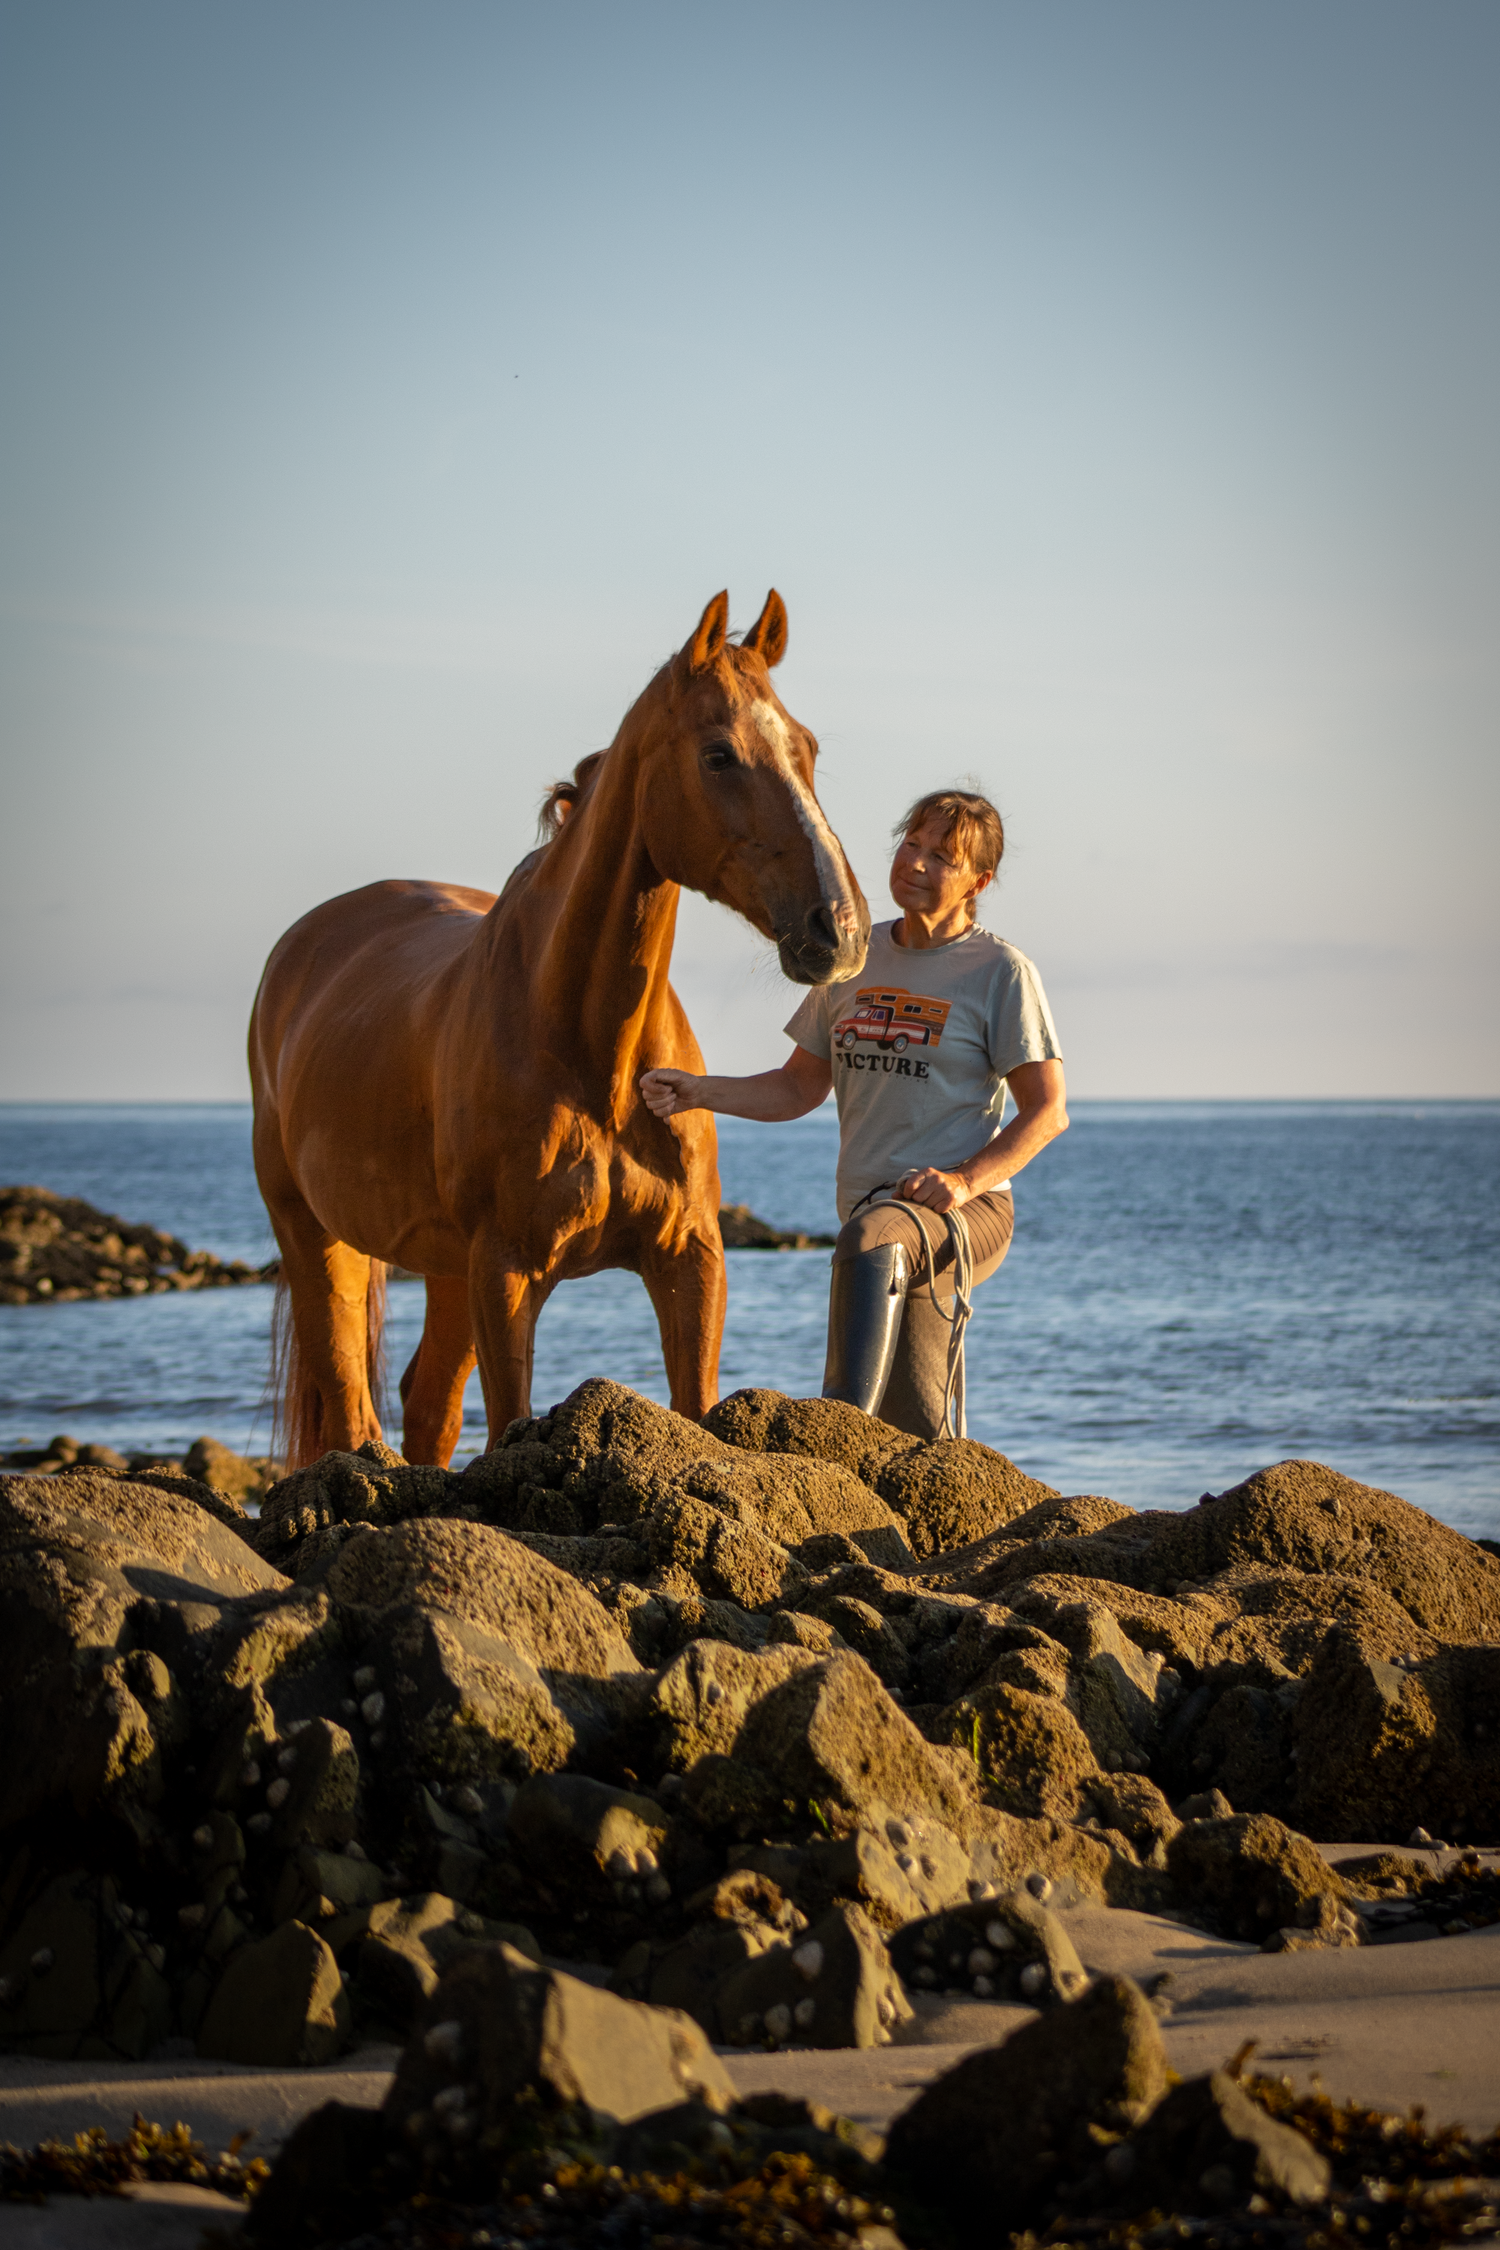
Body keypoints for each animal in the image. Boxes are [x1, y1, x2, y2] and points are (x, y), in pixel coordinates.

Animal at [249, 588, 870, 1469]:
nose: (839, 930)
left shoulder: (689, 1261)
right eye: (718, 755)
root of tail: (303, 944)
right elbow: (509, 1415)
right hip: (316, 1237)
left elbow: (695, 1404)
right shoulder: (507, 1272)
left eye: (807, 747)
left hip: (445, 1268)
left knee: (427, 1407)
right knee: (351, 1408)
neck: (591, 1051)